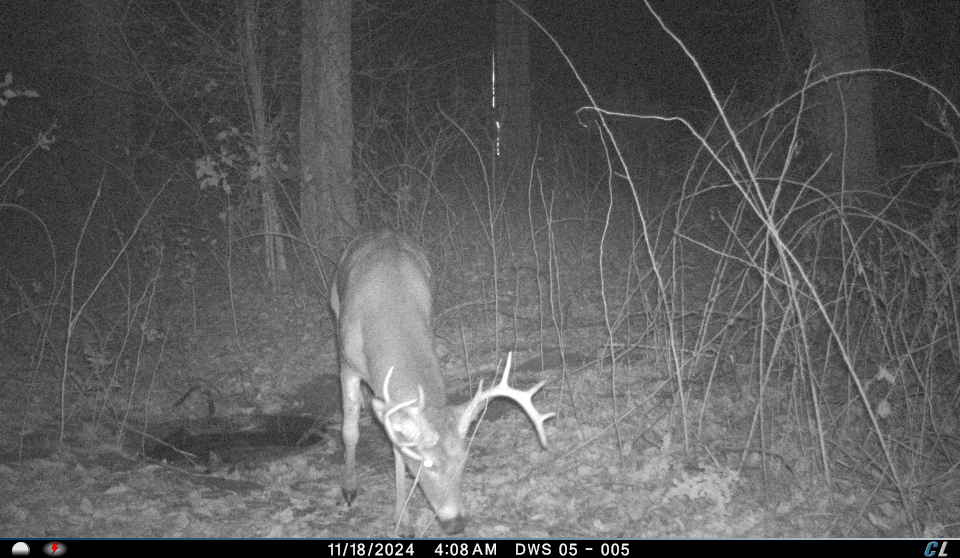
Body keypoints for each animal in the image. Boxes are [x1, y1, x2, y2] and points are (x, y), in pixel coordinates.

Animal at [330, 230, 555, 534]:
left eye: (463, 460)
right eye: (426, 464)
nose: (455, 522)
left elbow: (395, 447)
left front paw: (402, 519)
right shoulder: (347, 363)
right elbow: (349, 431)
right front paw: (349, 489)